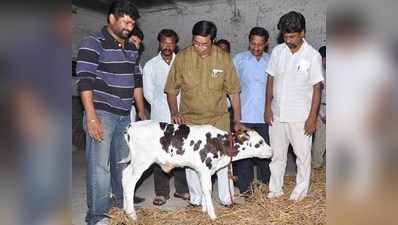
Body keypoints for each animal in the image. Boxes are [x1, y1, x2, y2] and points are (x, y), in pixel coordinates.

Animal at [121, 120, 272, 221]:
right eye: (260, 143)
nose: (272, 151)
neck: (219, 143)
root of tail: (132, 126)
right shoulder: (205, 169)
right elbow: (208, 190)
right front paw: (212, 215)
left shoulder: (203, 171)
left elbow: (204, 189)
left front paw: (204, 210)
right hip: (141, 162)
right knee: (130, 182)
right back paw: (132, 214)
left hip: (135, 163)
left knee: (124, 175)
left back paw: (125, 210)